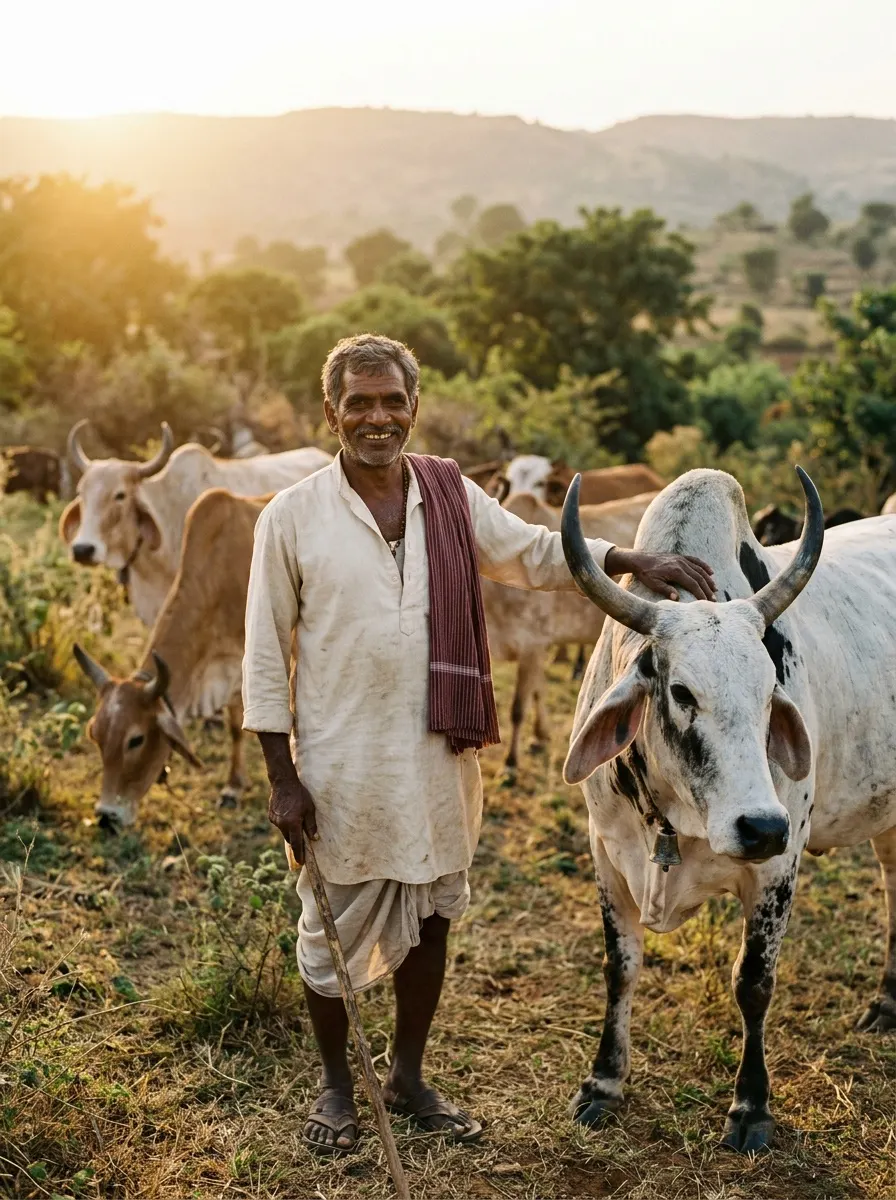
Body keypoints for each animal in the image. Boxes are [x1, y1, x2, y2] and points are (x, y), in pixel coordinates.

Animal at [72, 488, 270, 828]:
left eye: (135, 740)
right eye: (96, 734)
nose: (107, 817)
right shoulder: (229, 669)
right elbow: (235, 726)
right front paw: (233, 786)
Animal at [483, 490, 657, 776]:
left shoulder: (532, 644)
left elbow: (518, 708)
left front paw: (510, 763)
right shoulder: (538, 649)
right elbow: (538, 691)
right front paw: (540, 735)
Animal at [558, 465, 896, 1152]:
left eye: (771, 689)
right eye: (682, 692)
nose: (760, 826)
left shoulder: (777, 868)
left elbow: (753, 981)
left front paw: (751, 1105)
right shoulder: (605, 852)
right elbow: (620, 967)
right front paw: (603, 1083)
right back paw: (887, 1003)